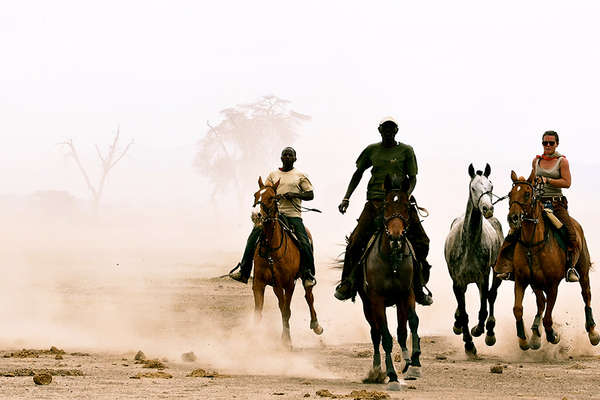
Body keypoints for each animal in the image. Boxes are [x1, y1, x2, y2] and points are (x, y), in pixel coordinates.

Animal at [251, 176, 324, 346]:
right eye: (255, 195)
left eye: (272, 197)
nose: (256, 215)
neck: (271, 249)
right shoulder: (259, 283)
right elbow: (259, 312)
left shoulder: (289, 283)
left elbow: (286, 311)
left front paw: (286, 341)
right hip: (276, 285)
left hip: (303, 278)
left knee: (309, 296)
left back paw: (316, 325)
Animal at [358, 174, 424, 388]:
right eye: (386, 205)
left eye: (407, 206)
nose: (396, 237)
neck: (392, 259)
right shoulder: (377, 300)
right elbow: (385, 336)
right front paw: (392, 375)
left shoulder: (407, 293)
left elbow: (413, 321)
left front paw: (415, 363)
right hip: (367, 306)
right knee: (376, 333)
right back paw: (377, 370)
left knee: (401, 330)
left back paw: (407, 360)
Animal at [442, 163, 504, 356]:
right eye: (473, 188)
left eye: (491, 186)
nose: (487, 209)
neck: (469, 244)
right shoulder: (457, 281)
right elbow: (463, 314)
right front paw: (469, 344)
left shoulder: (482, 278)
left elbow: (483, 308)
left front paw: (478, 331)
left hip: (496, 272)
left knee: (492, 296)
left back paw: (489, 333)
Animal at [508, 172, 596, 350]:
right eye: (509, 194)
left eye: (527, 193)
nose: (513, 218)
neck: (533, 244)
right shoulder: (522, 280)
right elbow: (518, 309)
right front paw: (523, 340)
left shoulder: (553, 285)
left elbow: (548, 316)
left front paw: (553, 335)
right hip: (535, 283)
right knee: (541, 302)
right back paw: (535, 333)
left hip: (583, 271)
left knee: (586, 295)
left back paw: (592, 332)